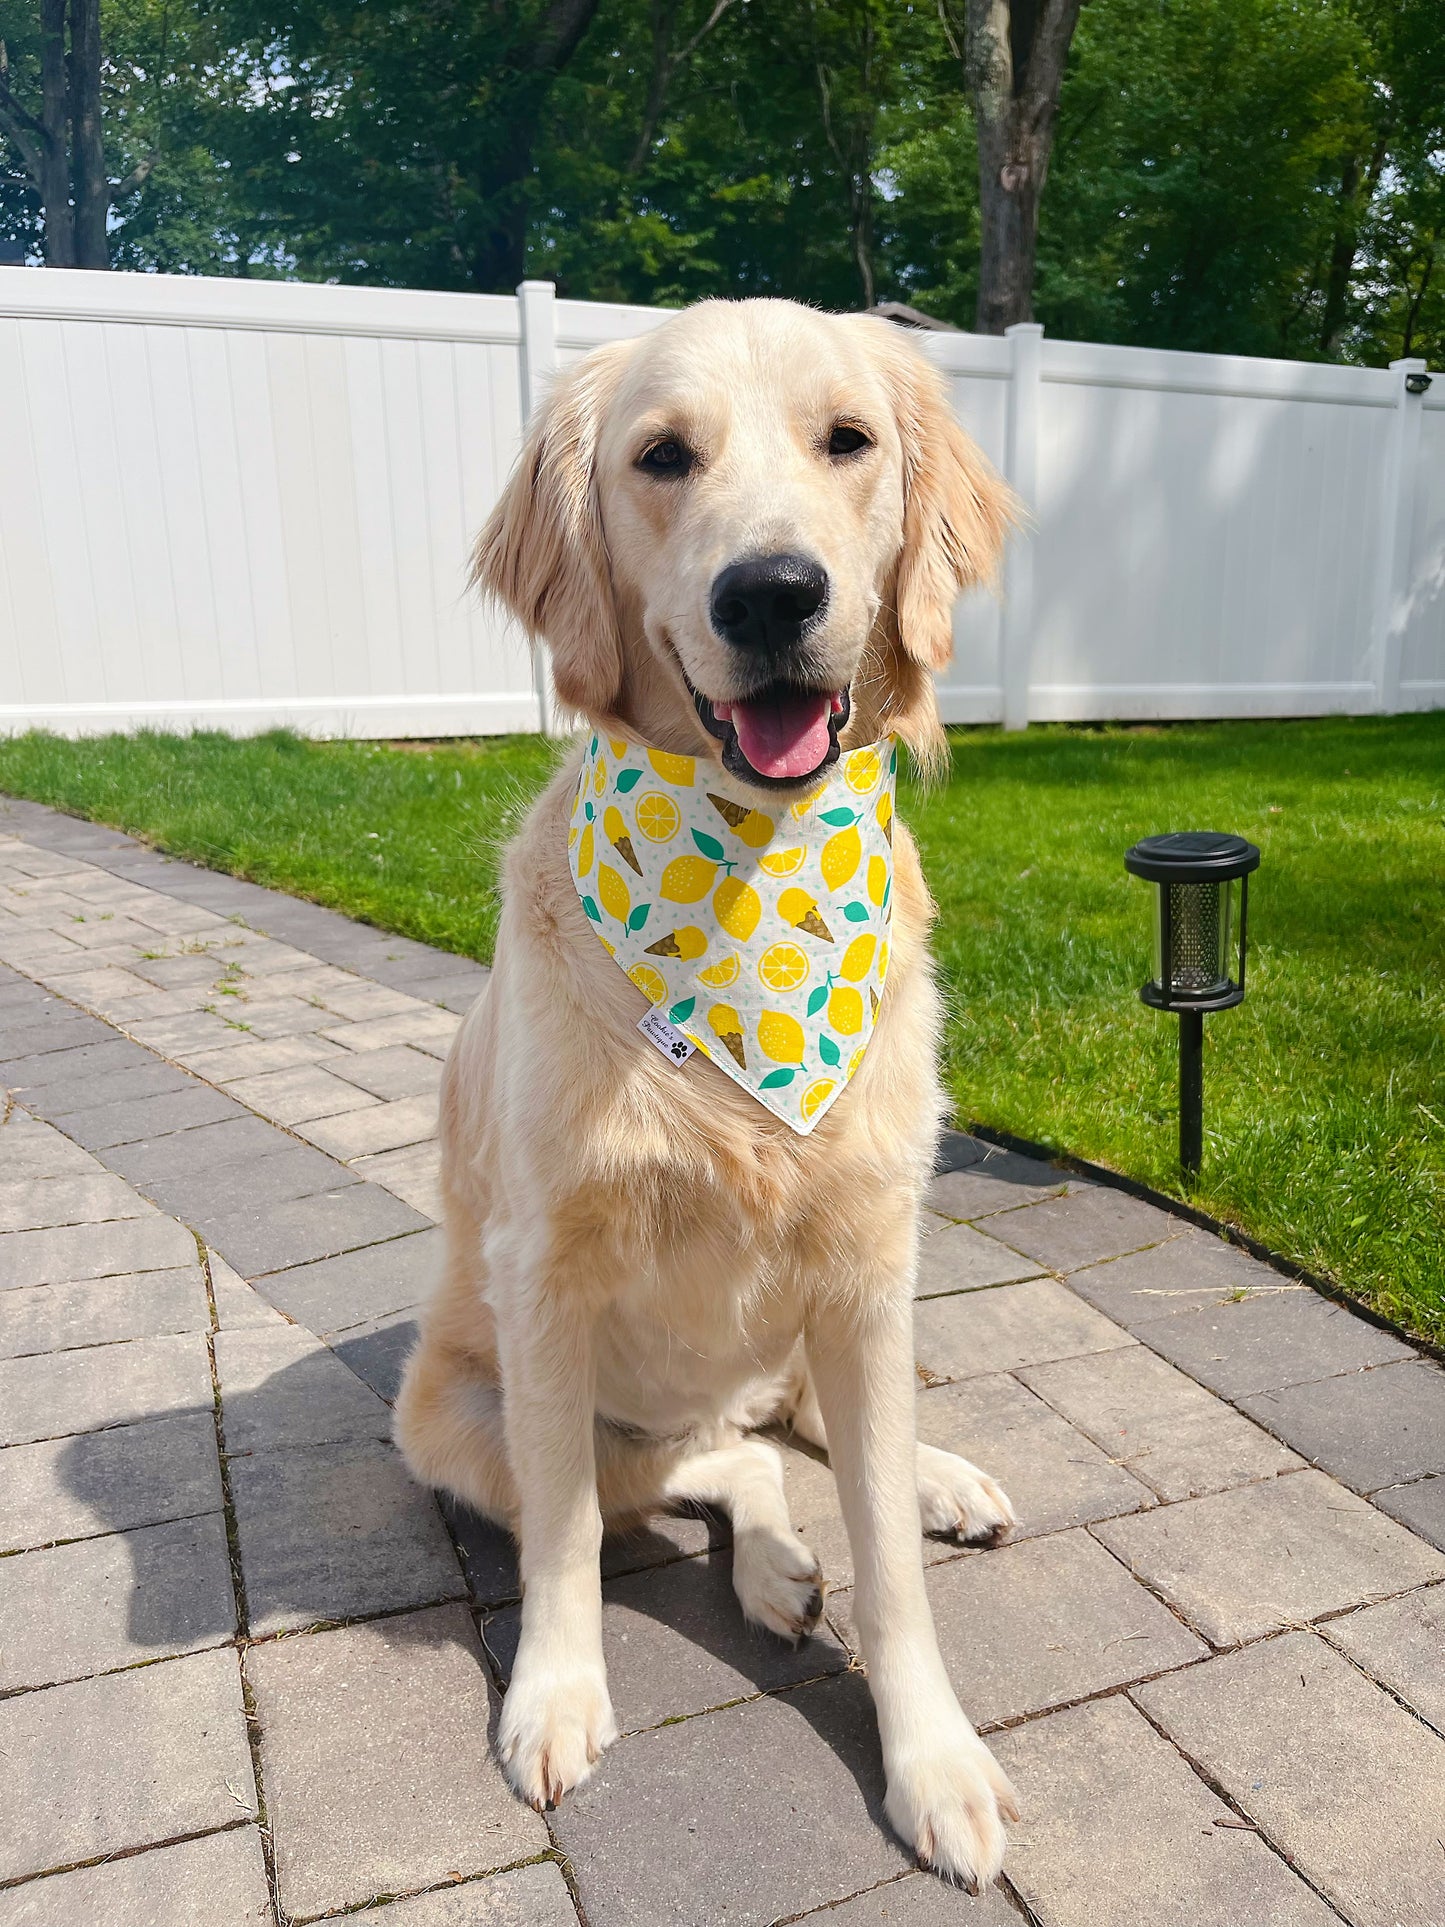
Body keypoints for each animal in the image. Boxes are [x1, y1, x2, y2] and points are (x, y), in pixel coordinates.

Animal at [396, 304, 1024, 1896]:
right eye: (661, 457)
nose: (773, 591)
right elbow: (563, 1537)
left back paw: (929, 1481)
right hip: (453, 1416)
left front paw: (933, 1756)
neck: (747, 880)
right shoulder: (547, 1279)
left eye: (847, 440)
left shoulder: (867, 1264)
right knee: (709, 1461)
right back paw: (774, 1563)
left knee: (796, 1437)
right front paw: (554, 1695)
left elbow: (891, 1562)